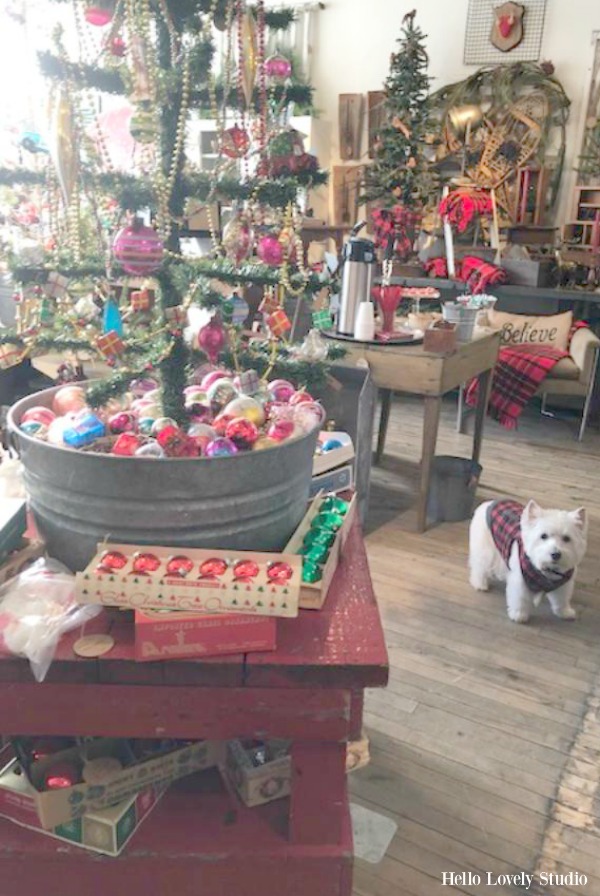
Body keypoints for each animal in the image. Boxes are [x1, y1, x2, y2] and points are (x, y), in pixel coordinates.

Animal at [468, 496, 584, 624]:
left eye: (567, 538)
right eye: (543, 536)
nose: (555, 554)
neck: (547, 571)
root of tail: (488, 503)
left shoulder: (563, 584)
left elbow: (561, 599)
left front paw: (565, 612)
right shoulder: (520, 580)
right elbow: (520, 599)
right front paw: (519, 615)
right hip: (485, 549)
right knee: (479, 566)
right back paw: (480, 584)